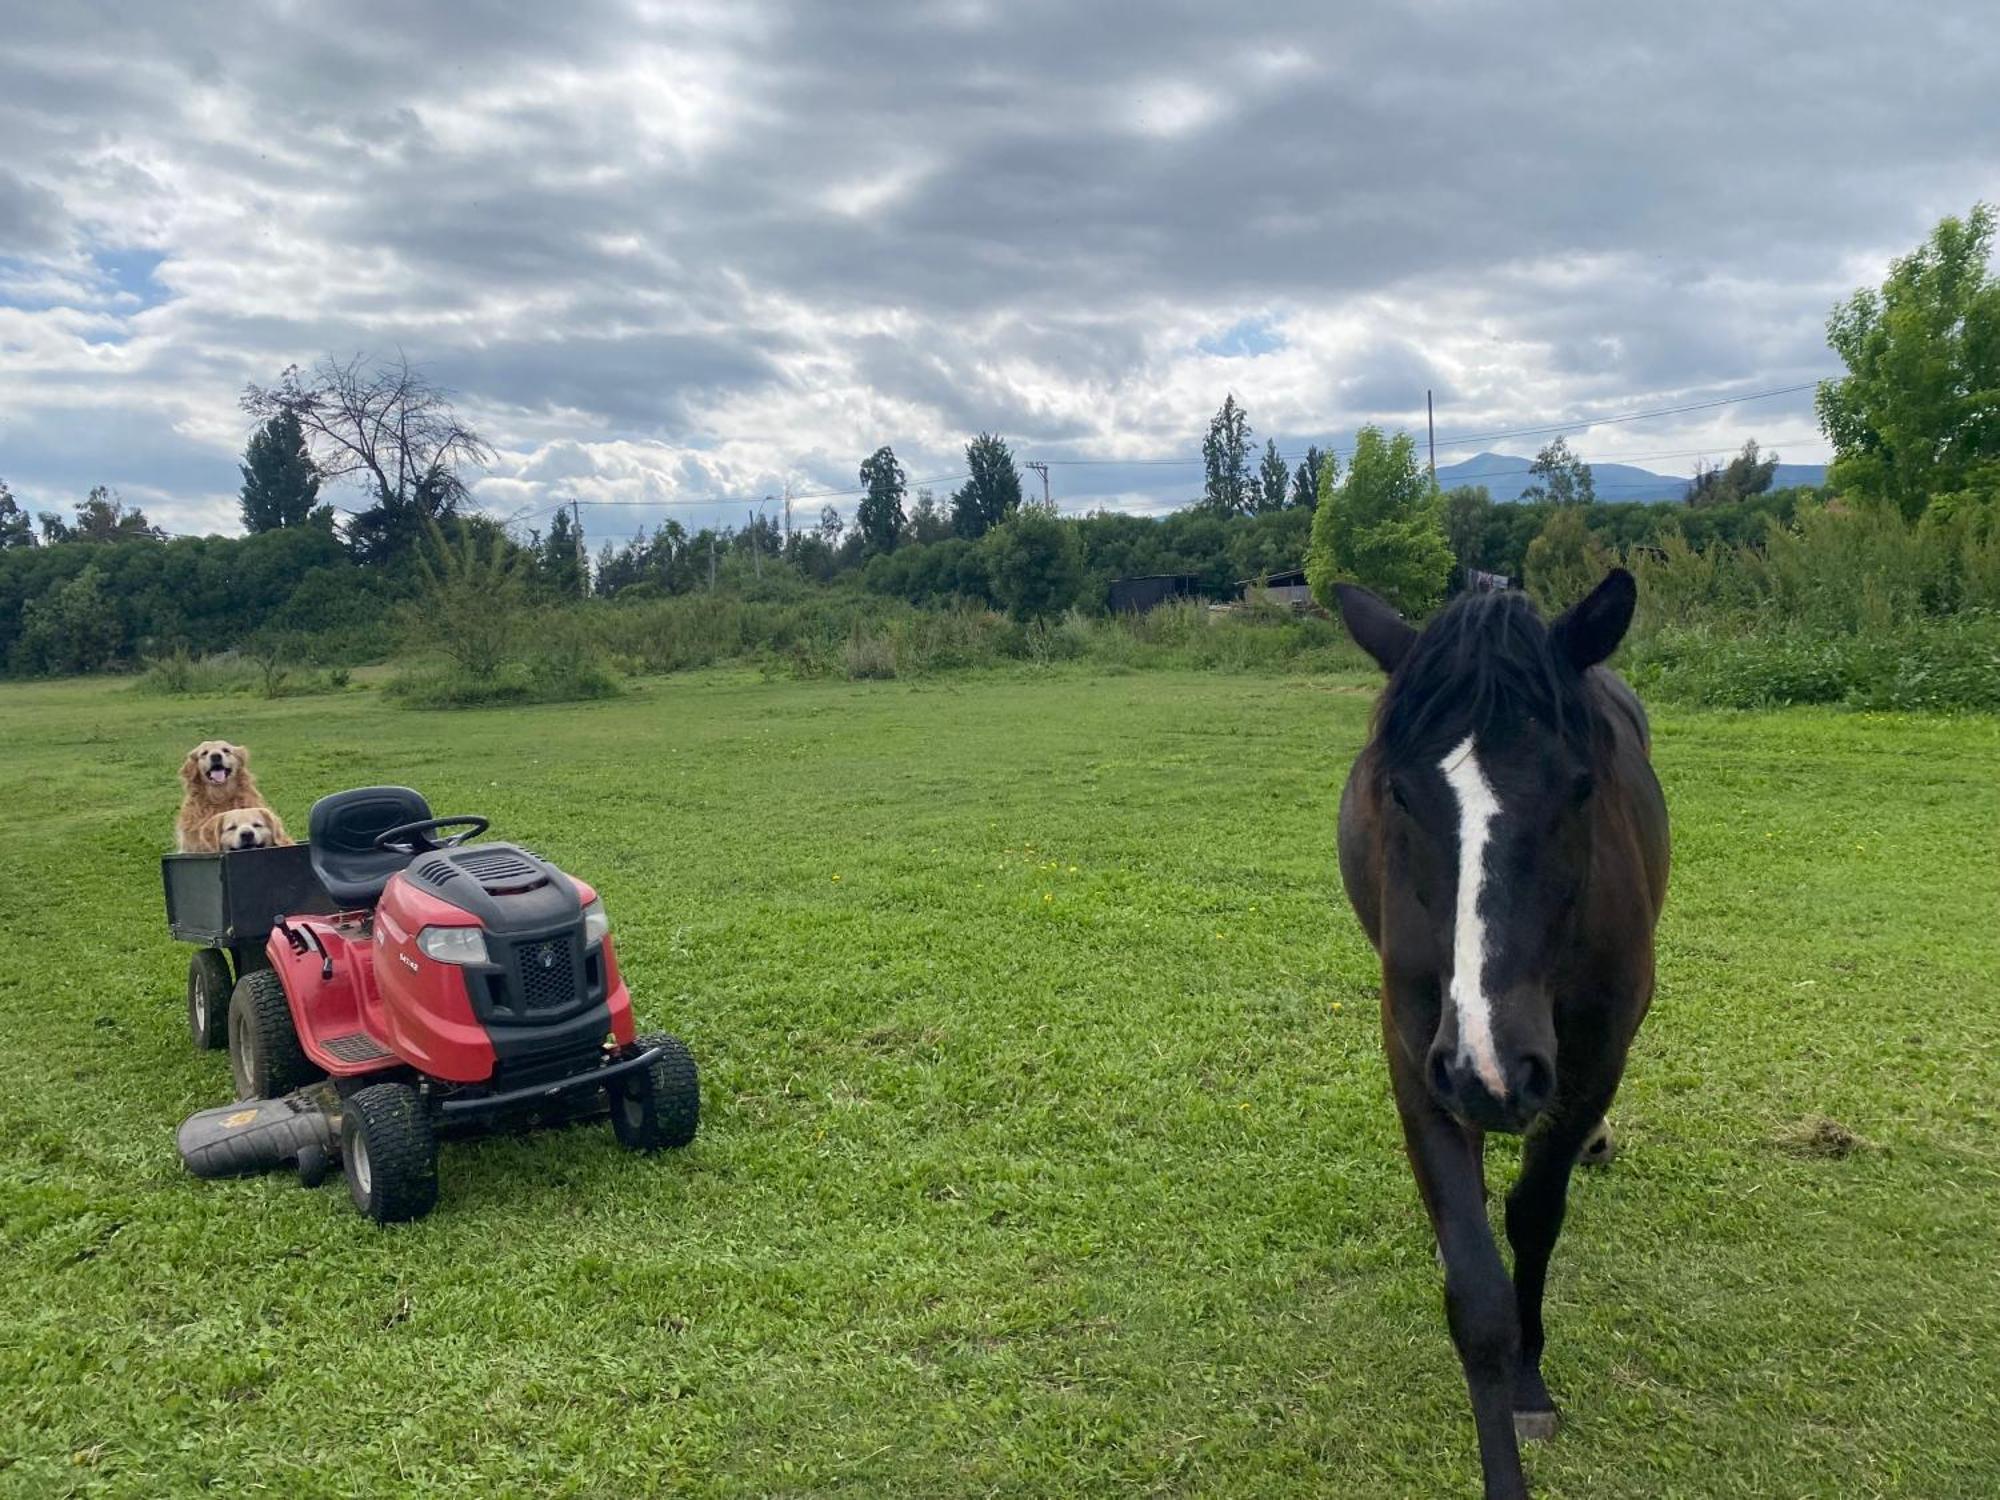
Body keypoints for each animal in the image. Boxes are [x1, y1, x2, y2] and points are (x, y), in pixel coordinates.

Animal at [1344, 568, 1672, 1496]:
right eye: (1398, 791)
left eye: (1580, 787)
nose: (1492, 1070)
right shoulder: (1418, 1060)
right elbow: (1477, 1293)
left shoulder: (1593, 1060)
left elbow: (1535, 1217)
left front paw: (1530, 1384)